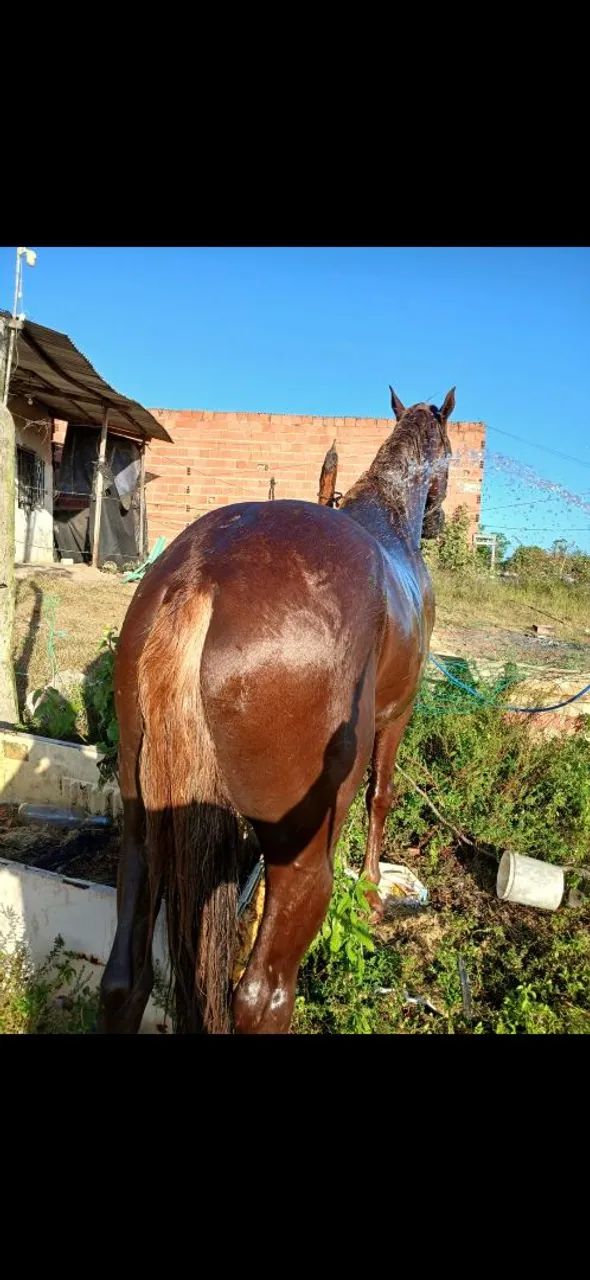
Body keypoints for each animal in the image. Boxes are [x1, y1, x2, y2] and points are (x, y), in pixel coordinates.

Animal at [98, 386, 454, 1034]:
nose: (438, 520)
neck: (390, 521)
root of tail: (198, 581)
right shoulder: (400, 713)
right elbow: (382, 795)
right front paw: (371, 893)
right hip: (300, 856)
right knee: (262, 997)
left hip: (142, 825)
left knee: (123, 978)